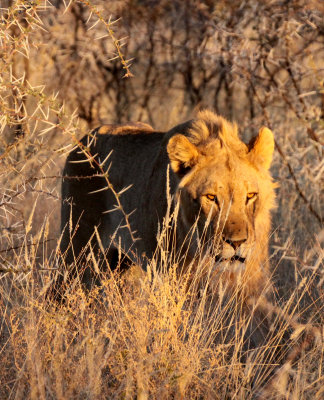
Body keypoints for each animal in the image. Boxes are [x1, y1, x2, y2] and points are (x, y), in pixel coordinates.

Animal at [58, 109, 276, 296]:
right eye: (211, 197)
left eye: (250, 195)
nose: (237, 242)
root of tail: (83, 140)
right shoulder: (169, 273)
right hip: (76, 249)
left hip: (121, 261)